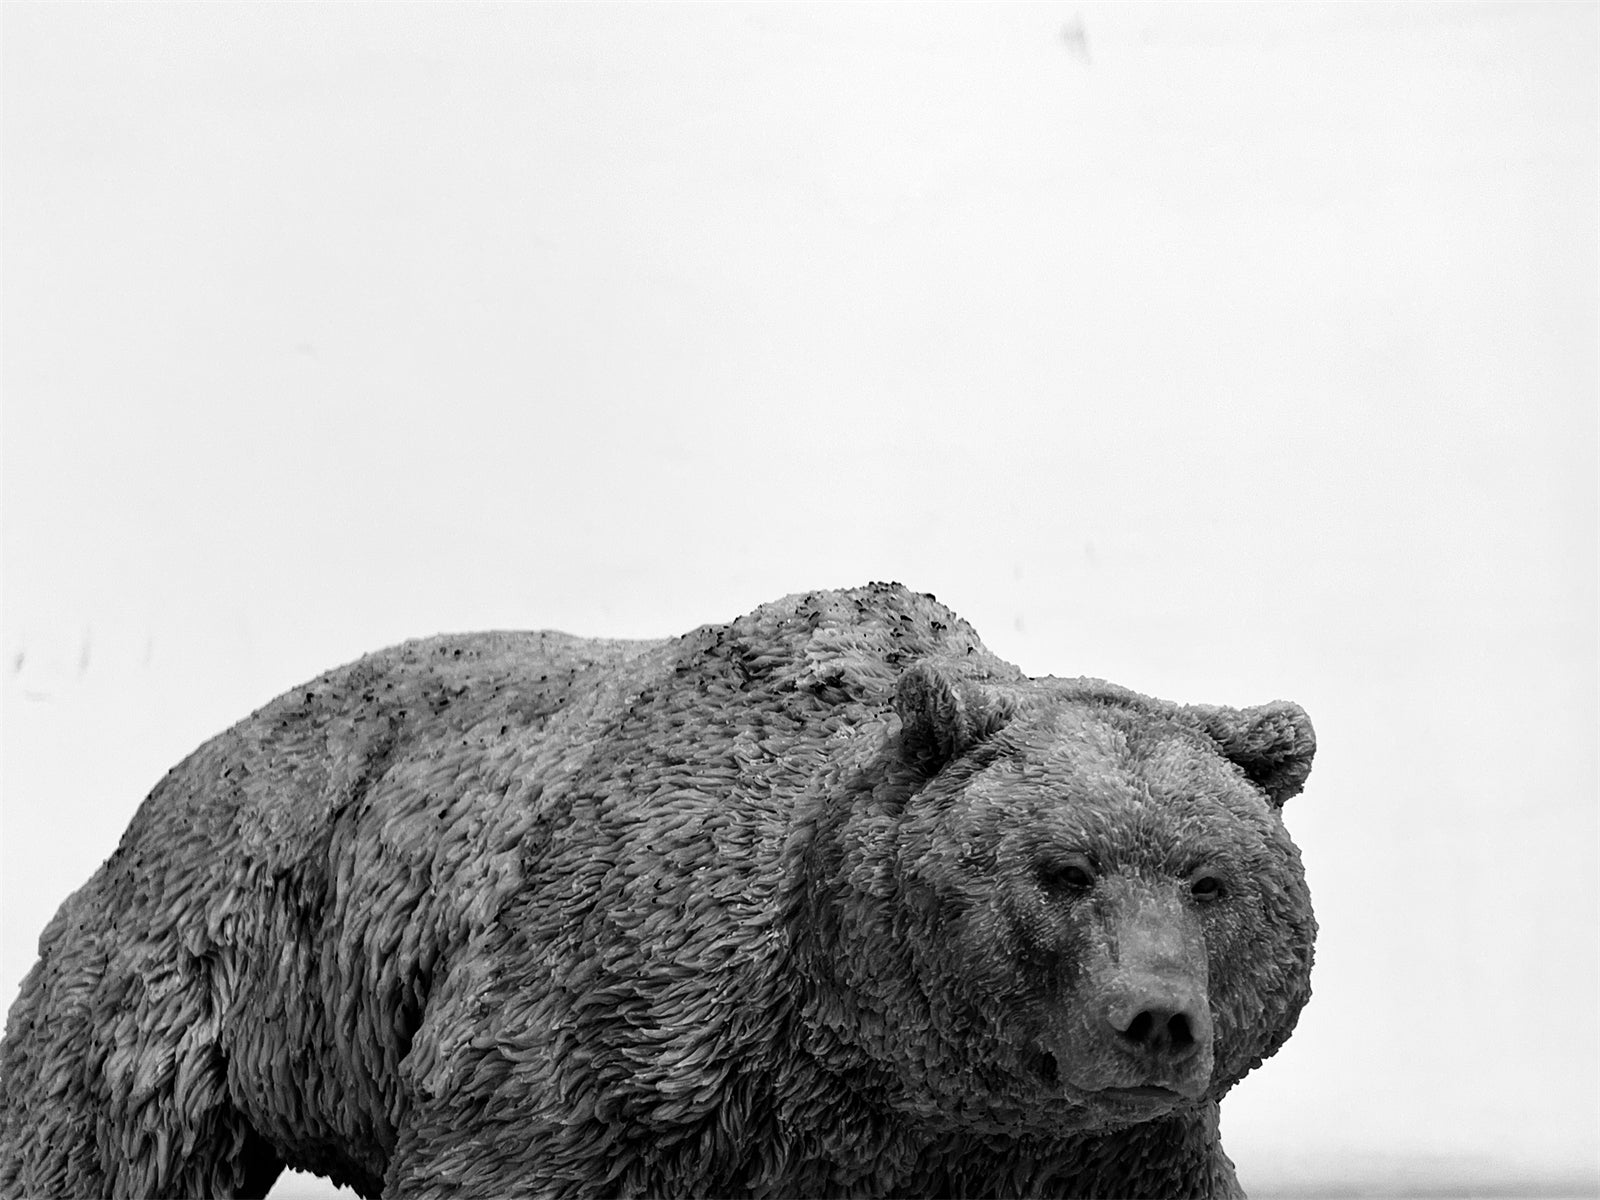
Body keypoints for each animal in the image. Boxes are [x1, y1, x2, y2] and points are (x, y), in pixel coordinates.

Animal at [0, 582, 1317, 1199]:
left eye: (1208, 880)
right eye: (1064, 870)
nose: (1155, 1019)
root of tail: (185, 769)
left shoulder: (1088, 1149)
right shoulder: (620, 1020)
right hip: (186, 984)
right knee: (95, 1152)